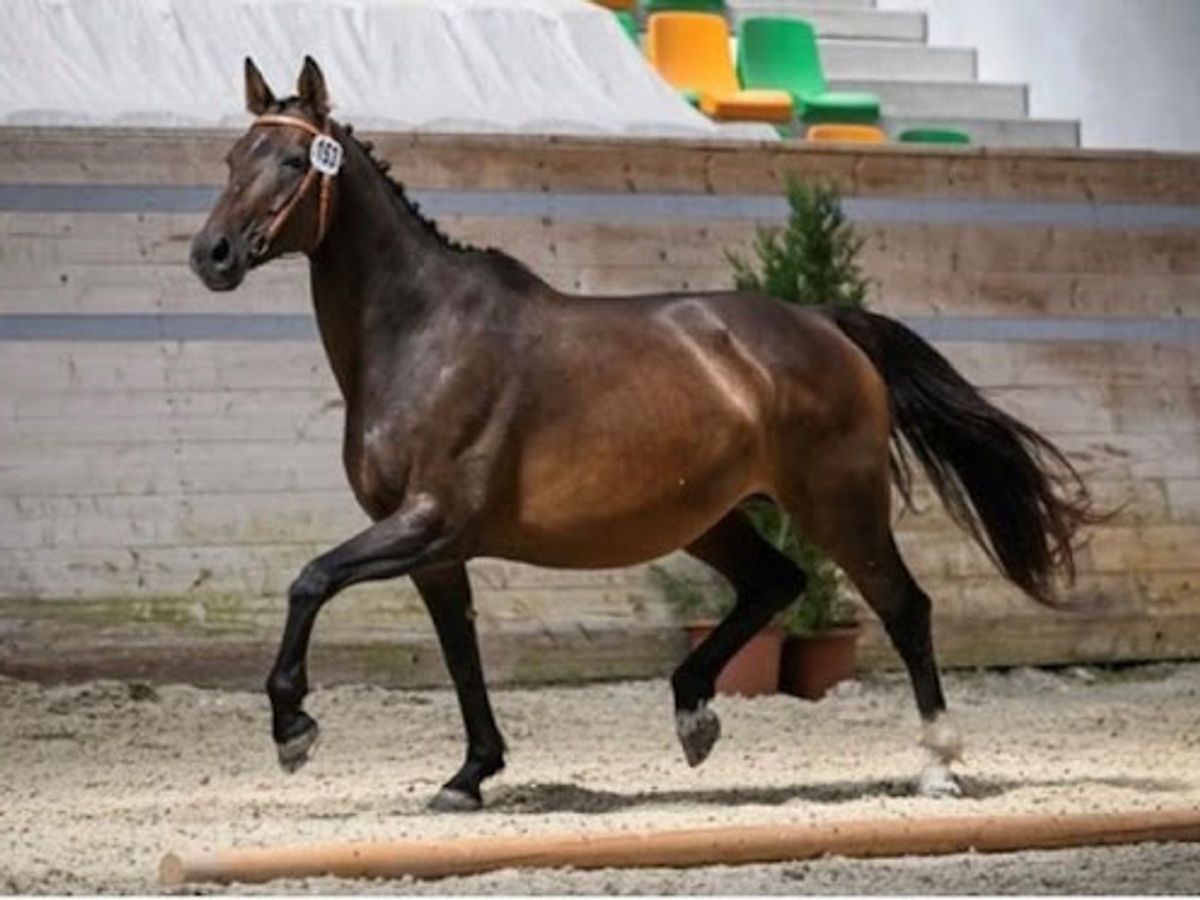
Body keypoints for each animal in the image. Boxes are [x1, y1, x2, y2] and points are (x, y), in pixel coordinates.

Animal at [190, 57, 1097, 811]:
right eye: (232, 159)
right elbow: (459, 651)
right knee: (776, 583)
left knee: (904, 607)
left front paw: (294, 732)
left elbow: (309, 581)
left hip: (840, 504)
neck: (423, 335)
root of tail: (825, 322)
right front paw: (470, 774)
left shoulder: (431, 522)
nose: (213, 255)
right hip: (711, 517)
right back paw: (694, 713)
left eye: (292, 163)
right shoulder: (433, 549)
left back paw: (938, 765)